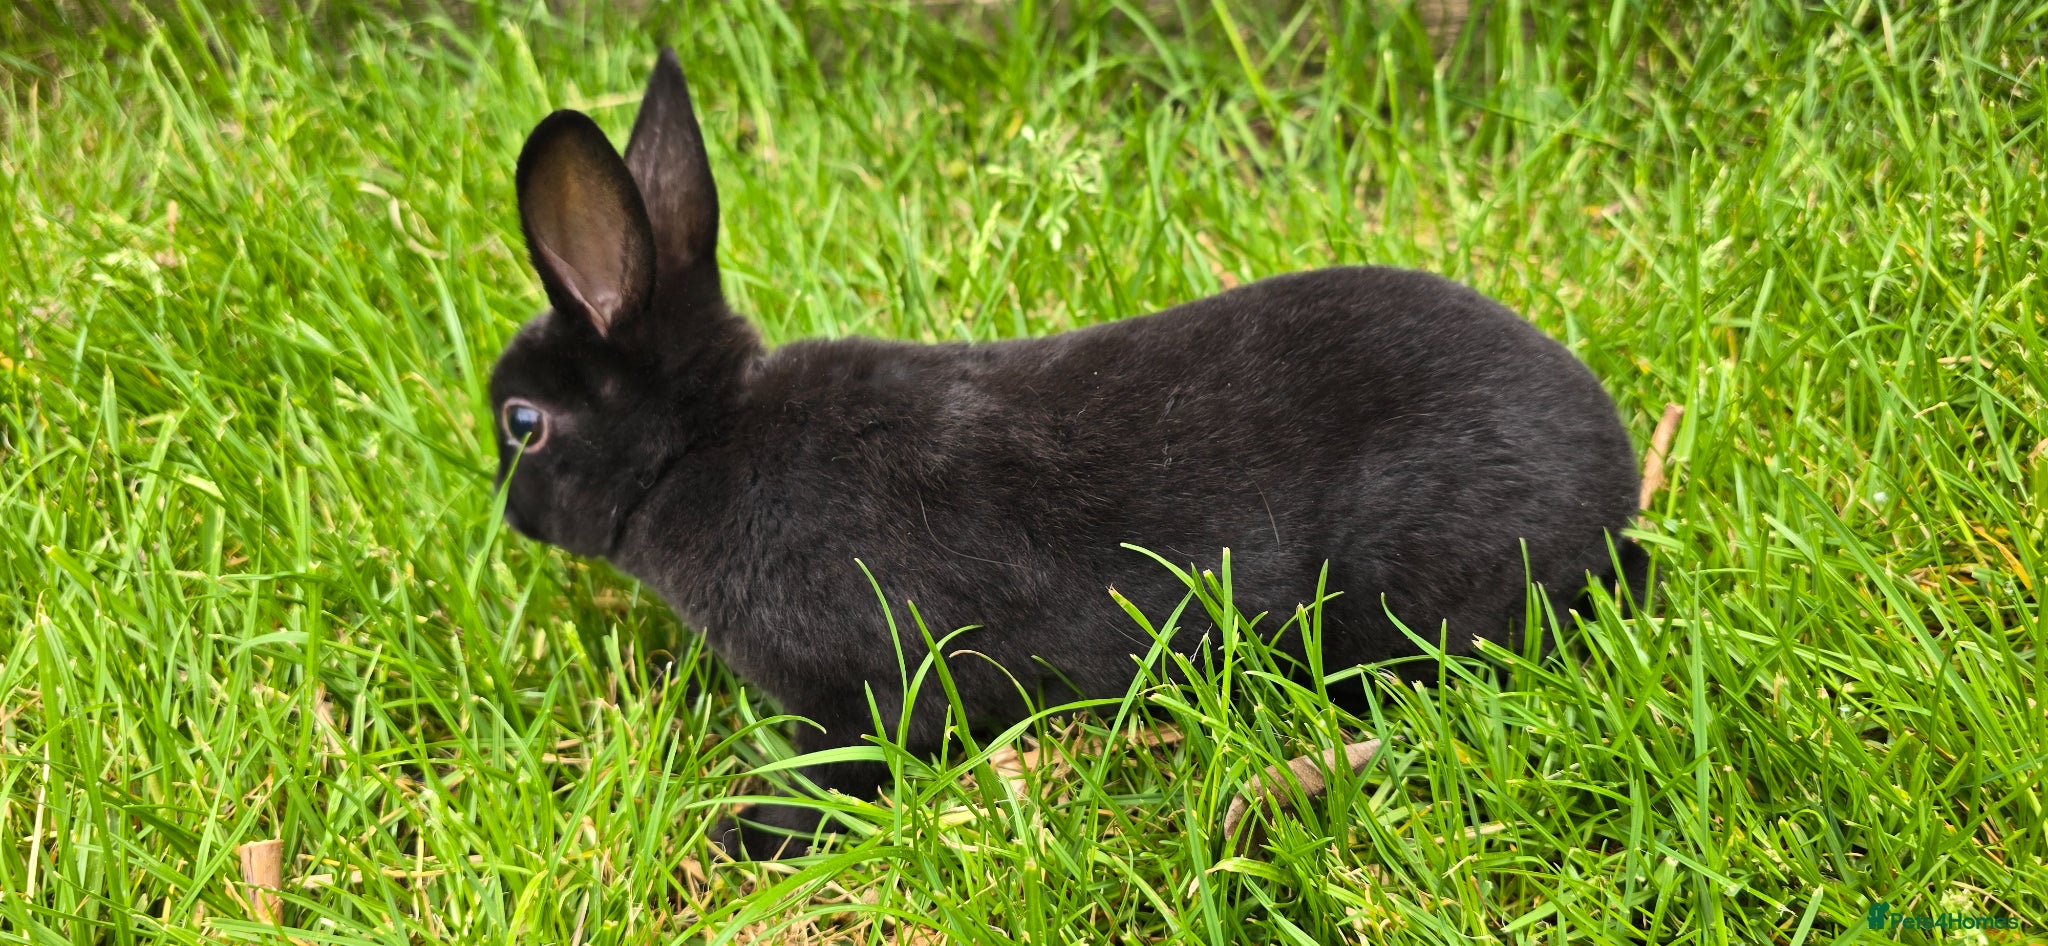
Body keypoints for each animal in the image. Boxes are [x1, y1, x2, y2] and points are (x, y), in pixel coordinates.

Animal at [486, 49, 1645, 860]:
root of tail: (1615, 486)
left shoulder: (861, 691)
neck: (699, 440)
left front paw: (743, 834)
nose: (507, 512)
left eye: (521, 423)